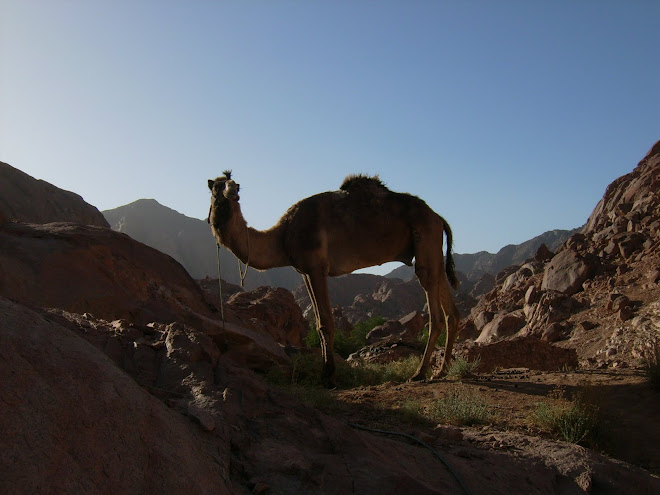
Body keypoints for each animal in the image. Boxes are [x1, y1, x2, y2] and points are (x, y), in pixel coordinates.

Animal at [206, 171, 458, 388]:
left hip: (425, 241)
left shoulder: (317, 268)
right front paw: (326, 374)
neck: (283, 236)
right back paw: (440, 372)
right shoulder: (305, 271)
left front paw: (329, 377)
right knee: (450, 310)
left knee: (435, 311)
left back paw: (420, 373)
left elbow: (326, 322)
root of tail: (438, 218)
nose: (232, 192)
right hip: (433, 250)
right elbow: (319, 322)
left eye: (235, 185)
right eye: (216, 187)